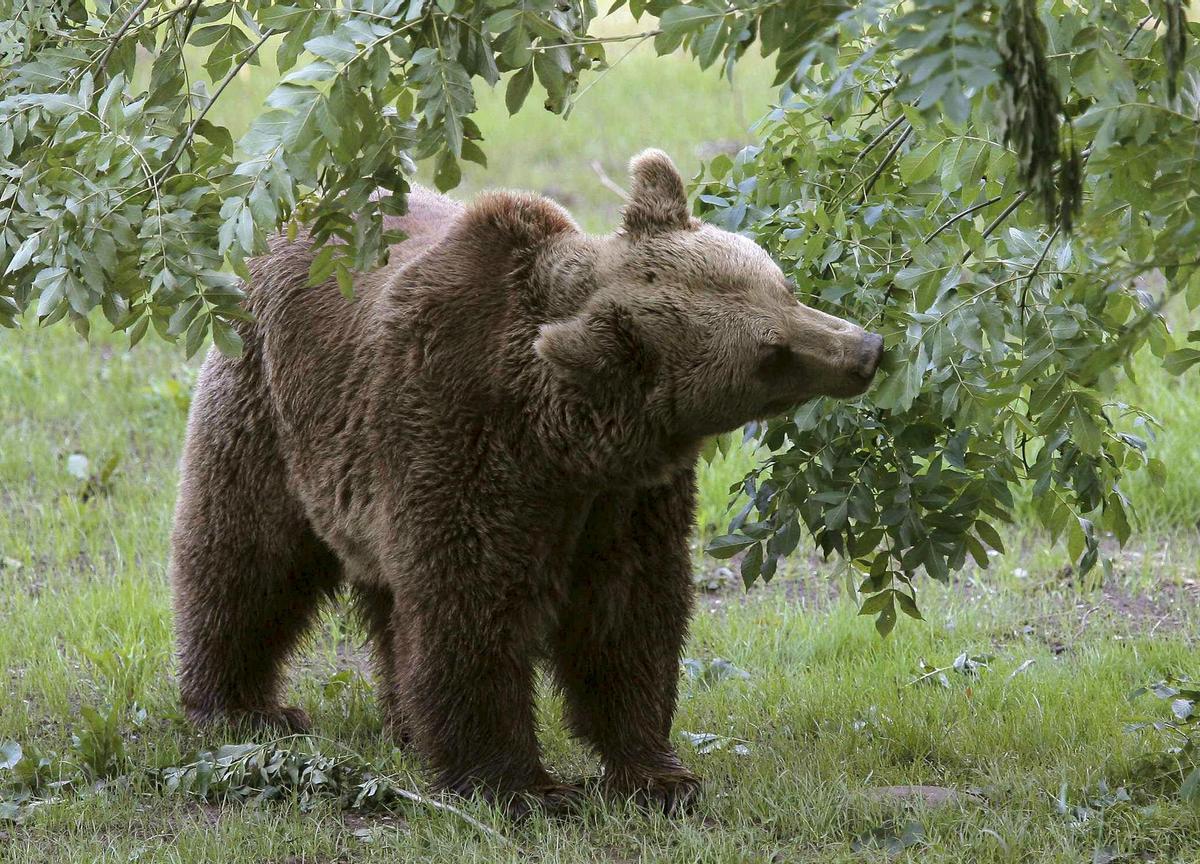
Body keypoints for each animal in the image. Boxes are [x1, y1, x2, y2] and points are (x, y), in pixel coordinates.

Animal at [169, 149, 883, 815]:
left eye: (782, 285)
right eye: (770, 354)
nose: (866, 350)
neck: (562, 442)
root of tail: (290, 214)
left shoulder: (623, 500)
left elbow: (629, 618)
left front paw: (657, 774)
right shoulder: (463, 440)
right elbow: (473, 613)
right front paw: (524, 786)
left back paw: (403, 724)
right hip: (268, 401)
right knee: (247, 554)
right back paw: (241, 707)